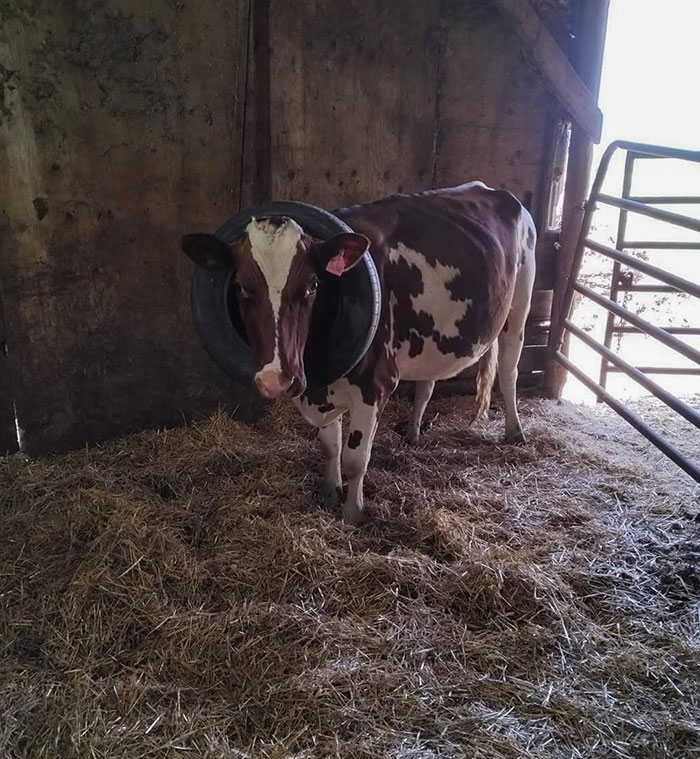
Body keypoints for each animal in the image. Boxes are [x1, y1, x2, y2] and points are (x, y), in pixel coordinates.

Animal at [182, 182, 536, 525]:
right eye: (240, 288)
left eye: (312, 286)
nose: (276, 380)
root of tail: (494, 190)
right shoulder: (321, 385)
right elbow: (330, 447)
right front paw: (329, 492)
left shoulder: (374, 385)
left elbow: (355, 459)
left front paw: (352, 513)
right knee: (428, 383)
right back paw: (413, 431)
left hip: (519, 307)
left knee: (509, 371)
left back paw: (515, 431)